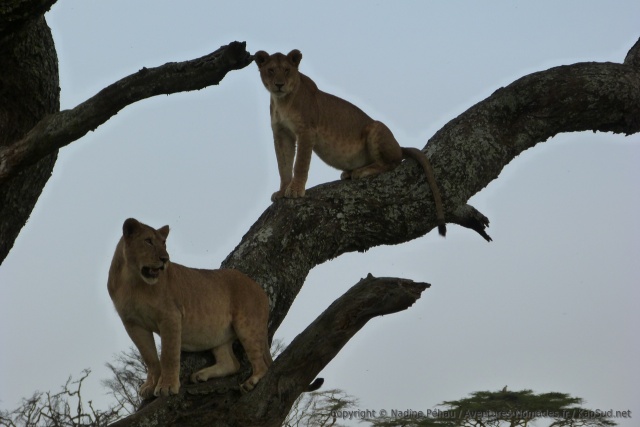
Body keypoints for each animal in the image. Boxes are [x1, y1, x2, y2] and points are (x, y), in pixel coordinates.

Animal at [107, 218, 272, 398]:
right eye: (148, 241)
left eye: (164, 243)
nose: (165, 259)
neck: (132, 281)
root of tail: (260, 289)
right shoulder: (133, 323)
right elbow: (149, 357)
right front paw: (151, 385)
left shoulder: (171, 316)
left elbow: (168, 354)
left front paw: (166, 386)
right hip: (217, 334)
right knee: (231, 363)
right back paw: (200, 375)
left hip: (247, 325)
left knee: (262, 364)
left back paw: (251, 382)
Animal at [254, 49, 446, 236]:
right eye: (271, 70)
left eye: (287, 70)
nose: (279, 84)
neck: (282, 101)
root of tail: (399, 147)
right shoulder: (281, 134)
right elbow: (283, 165)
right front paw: (282, 190)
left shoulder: (306, 131)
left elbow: (300, 163)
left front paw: (295, 190)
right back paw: (349, 172)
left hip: (376, 128)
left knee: (392, 162)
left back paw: (361, 171)